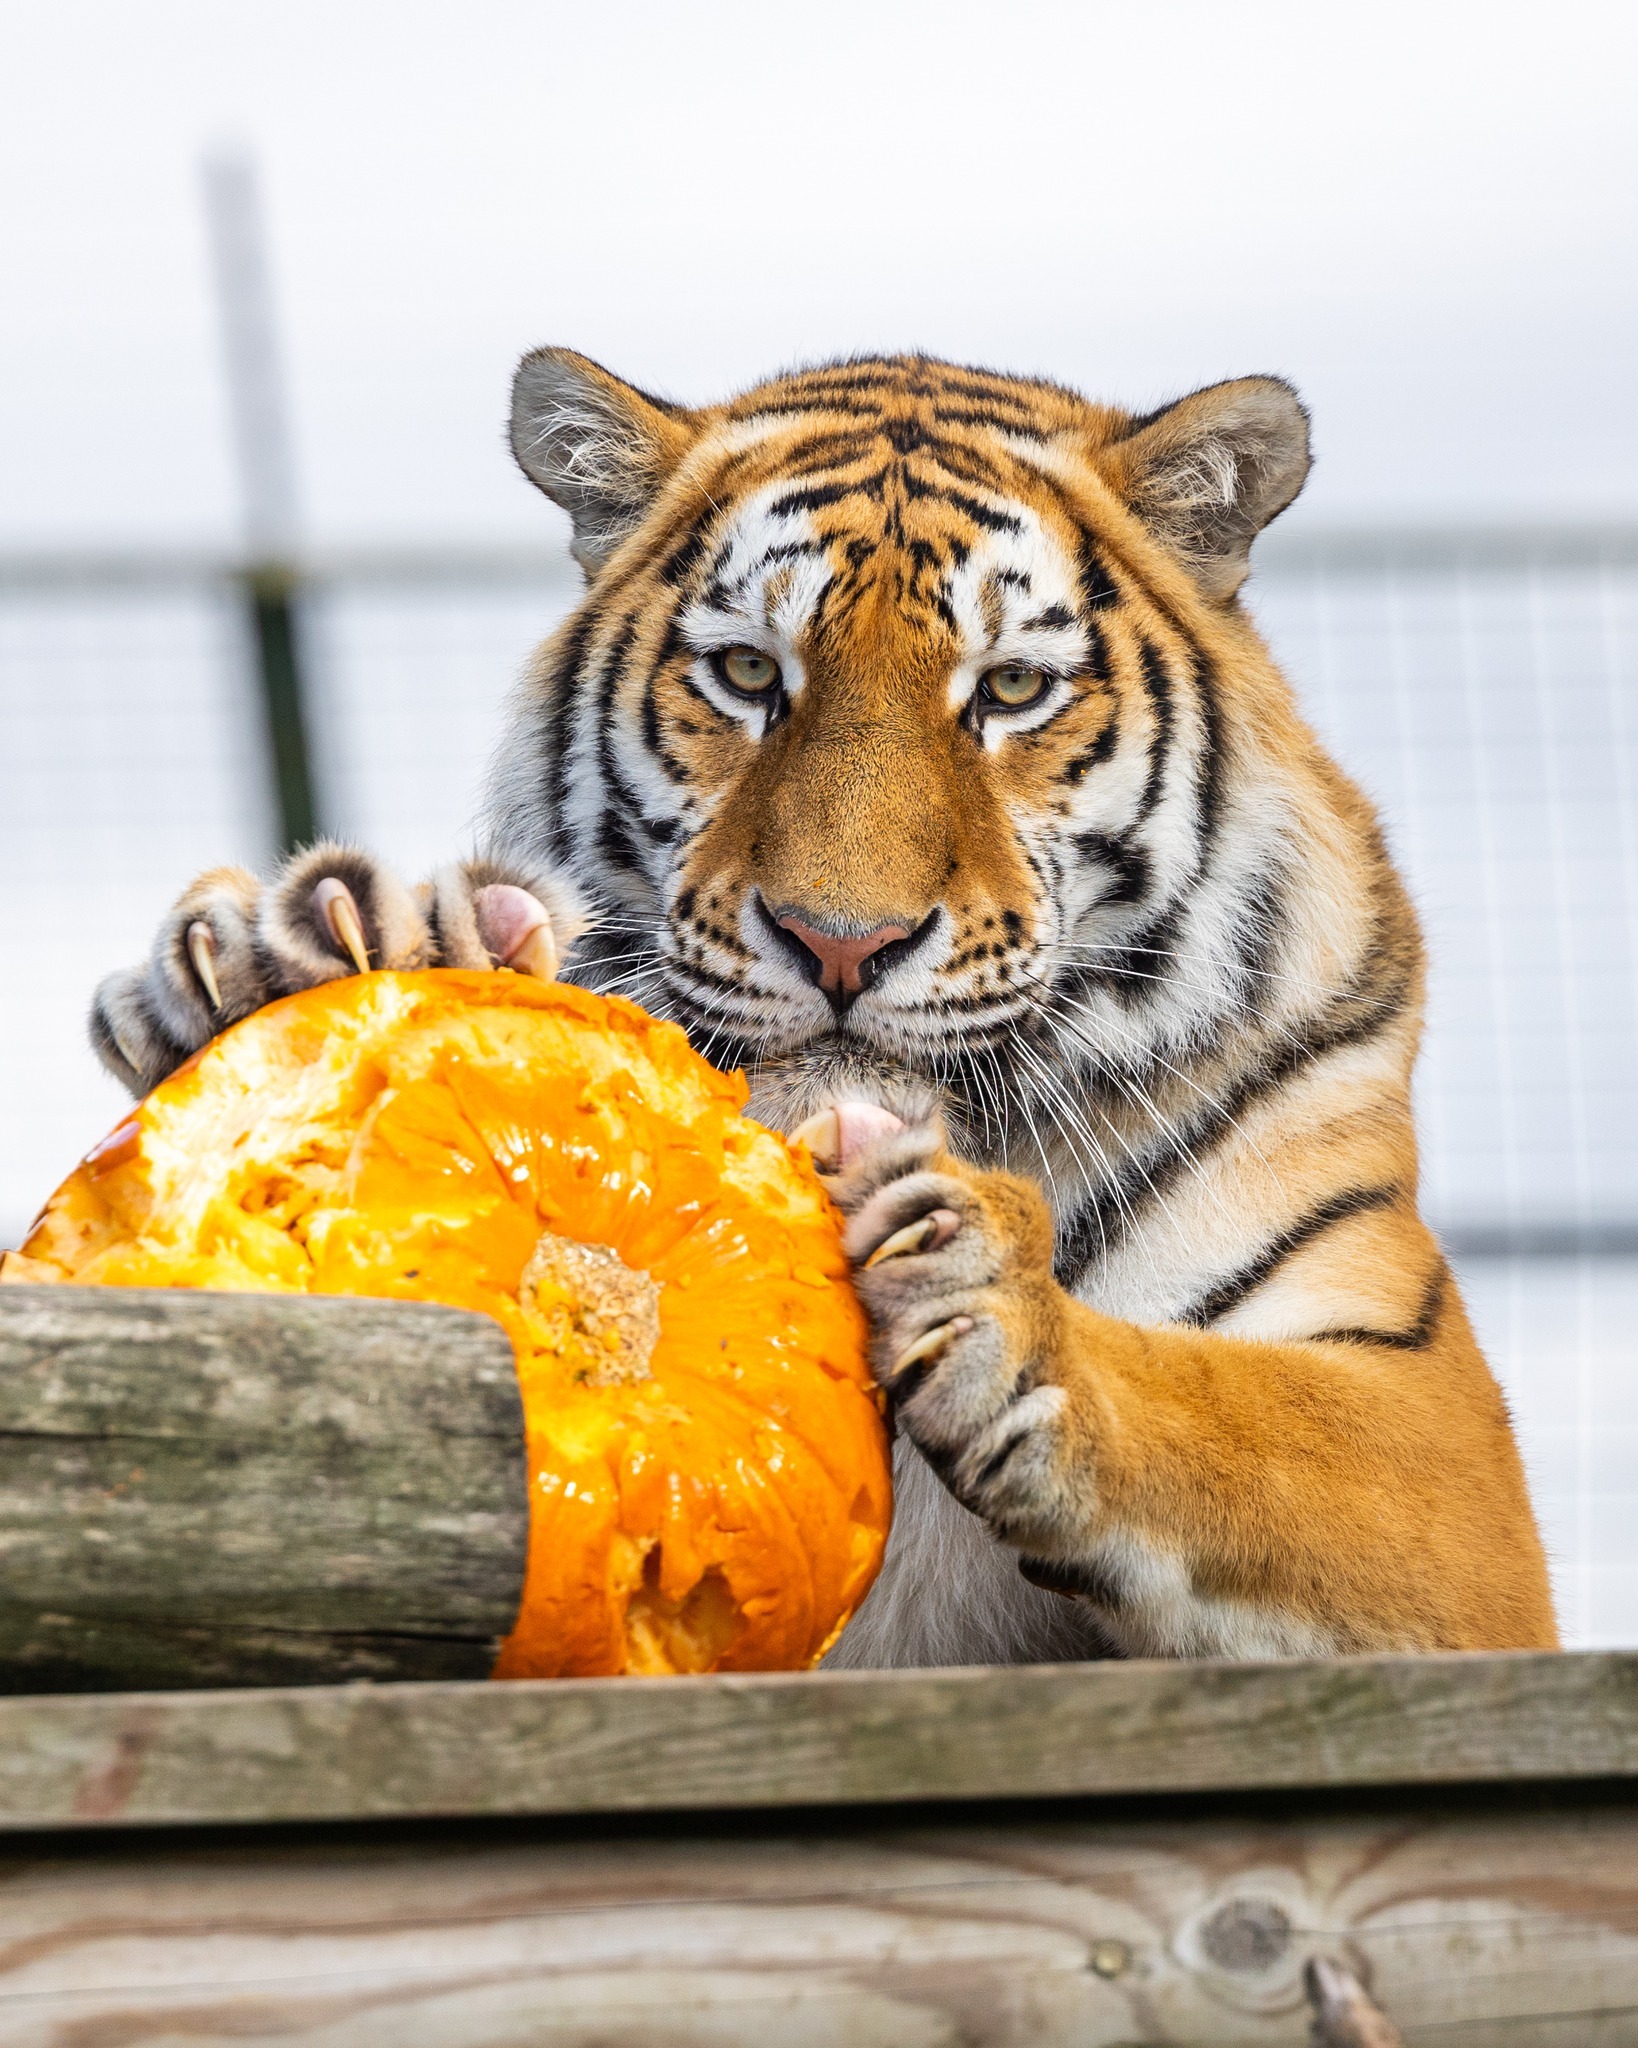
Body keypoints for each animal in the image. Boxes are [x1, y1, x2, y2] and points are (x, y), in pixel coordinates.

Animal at [92, 348, 1564, 1662]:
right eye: (750, 675)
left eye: (1011, 689)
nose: (839, 944)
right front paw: (292, 955)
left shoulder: (1433, 1442)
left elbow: (1228, 1414)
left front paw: (983, 1299)